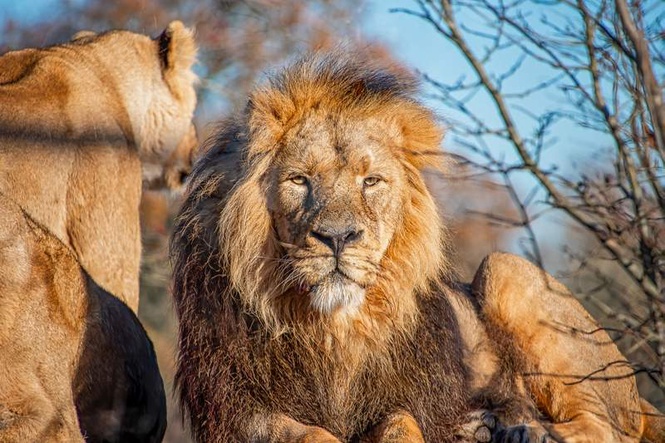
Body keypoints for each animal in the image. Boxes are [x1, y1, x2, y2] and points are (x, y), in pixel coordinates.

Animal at [170, 52, 663, 442]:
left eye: (371, 181)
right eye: (299, 180)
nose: (338, 237)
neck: (333, 329)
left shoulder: (410, 396)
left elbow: (402, 424)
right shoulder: (236, 406)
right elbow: (306, 433)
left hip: (503, 269)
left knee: (607, 428)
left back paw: (527, 431)